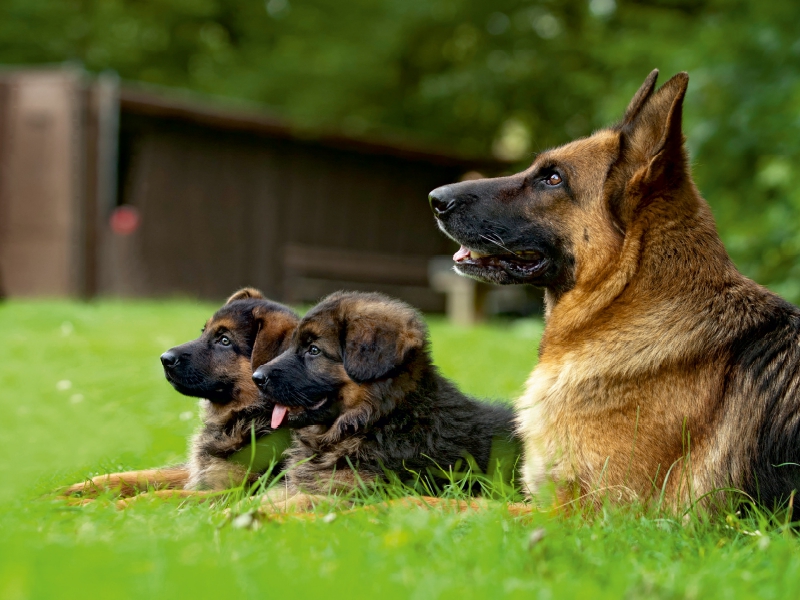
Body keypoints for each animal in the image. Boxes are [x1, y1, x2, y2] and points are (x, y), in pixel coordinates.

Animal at [60, 288, 296, 500]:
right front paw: (71, 492)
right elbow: (139, 475)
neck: (247, 415)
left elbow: (158, 496)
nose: (165, 359)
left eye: (225, 341)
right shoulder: (195, 472)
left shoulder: (232, 492)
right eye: (203, 331)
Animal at [253, 290, 520, 502]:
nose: (257, 377)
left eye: (314, 350)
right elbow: (266, 496)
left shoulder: (358, 490)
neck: (380, 418)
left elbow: (303, 501)